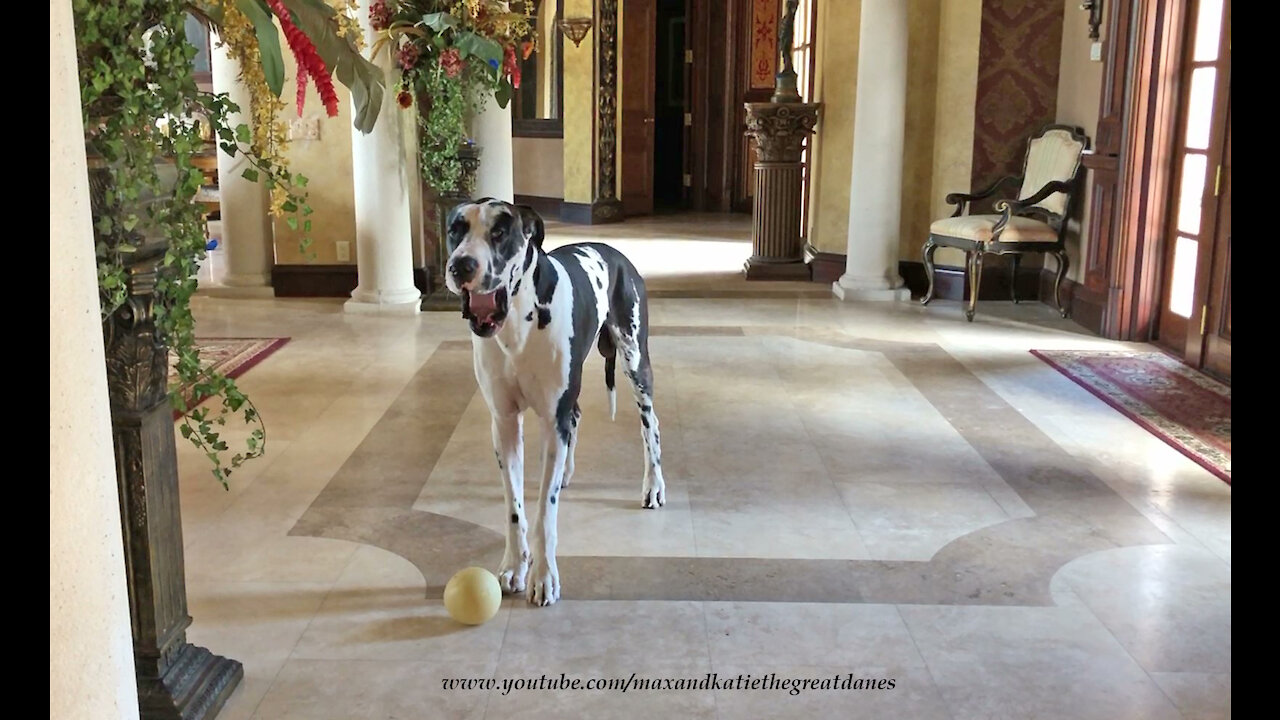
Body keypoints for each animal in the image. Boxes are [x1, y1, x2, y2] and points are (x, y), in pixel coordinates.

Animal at [445, 197, 670, 604]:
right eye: (456, 229)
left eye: (500, 231)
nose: (461, 265)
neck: (519, 322)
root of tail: (614, 252)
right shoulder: (504, 423)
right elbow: (515, 507)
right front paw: (515, 566)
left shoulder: (552, 420)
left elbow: (544, 514)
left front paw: (544, 575)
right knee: (577, 416)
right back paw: (565, 471)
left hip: (635, 361)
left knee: (651, 425)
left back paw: (653, 485)